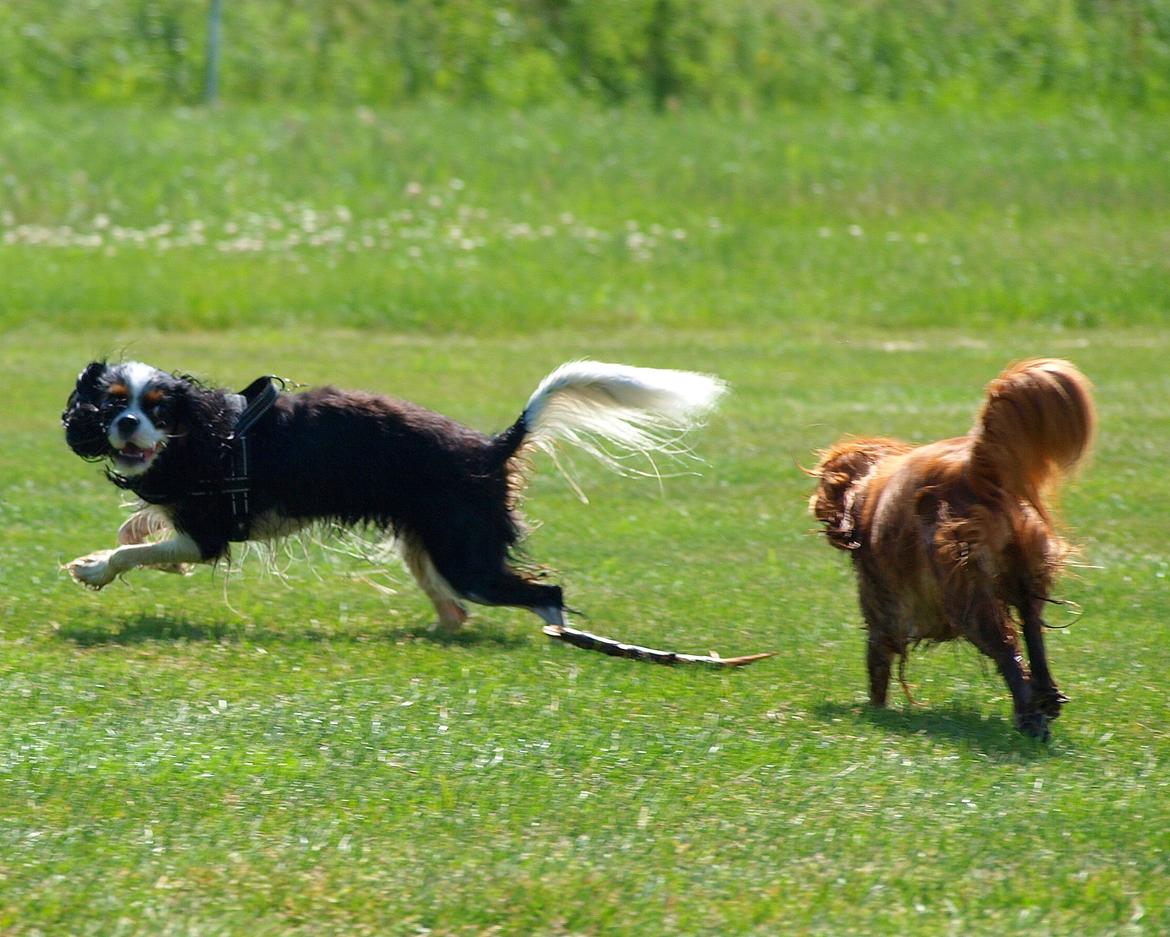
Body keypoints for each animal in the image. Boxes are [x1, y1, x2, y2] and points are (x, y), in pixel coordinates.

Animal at [61, 355, 748, 659]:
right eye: (114, 401)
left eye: (157, 410)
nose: (126, 426)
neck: (211, 432)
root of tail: (492, 447)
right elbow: (142, 525)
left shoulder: (210, 533)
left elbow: (134, 551)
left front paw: (94, 568)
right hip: (427, 550)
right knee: (458, 609)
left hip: (467, 560)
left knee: (544, 592)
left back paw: (562, 638)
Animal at [814, 357, 1095, 739]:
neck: (868, 490)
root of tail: (976, 470)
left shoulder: (883, 604)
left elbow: (879, 657)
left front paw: (874, 709)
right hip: (1023, 572)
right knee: (1032, 630)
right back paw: (1045, 696)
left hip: (964, 590)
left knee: (1004, 647)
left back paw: (1029, 715)